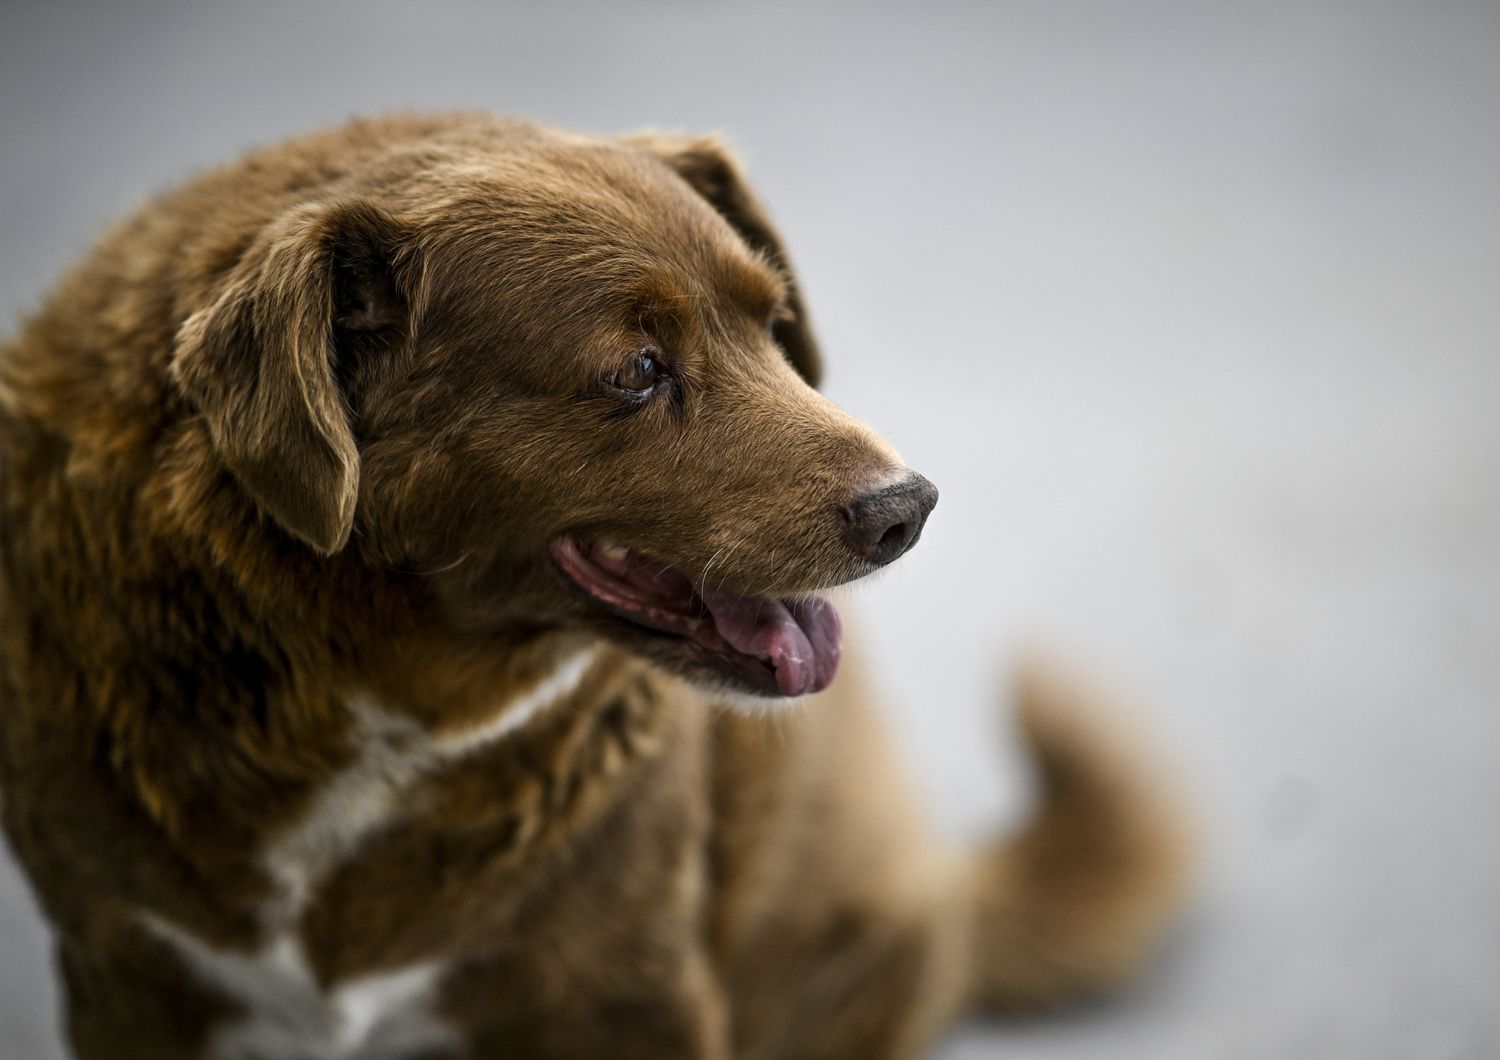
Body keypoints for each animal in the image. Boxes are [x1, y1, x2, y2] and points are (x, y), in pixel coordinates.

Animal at [0, 116, 1194, 1060]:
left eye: (773, 323)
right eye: (636, 372)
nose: (909, 508)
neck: (378, 709)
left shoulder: (627, 994)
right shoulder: (127, 975)